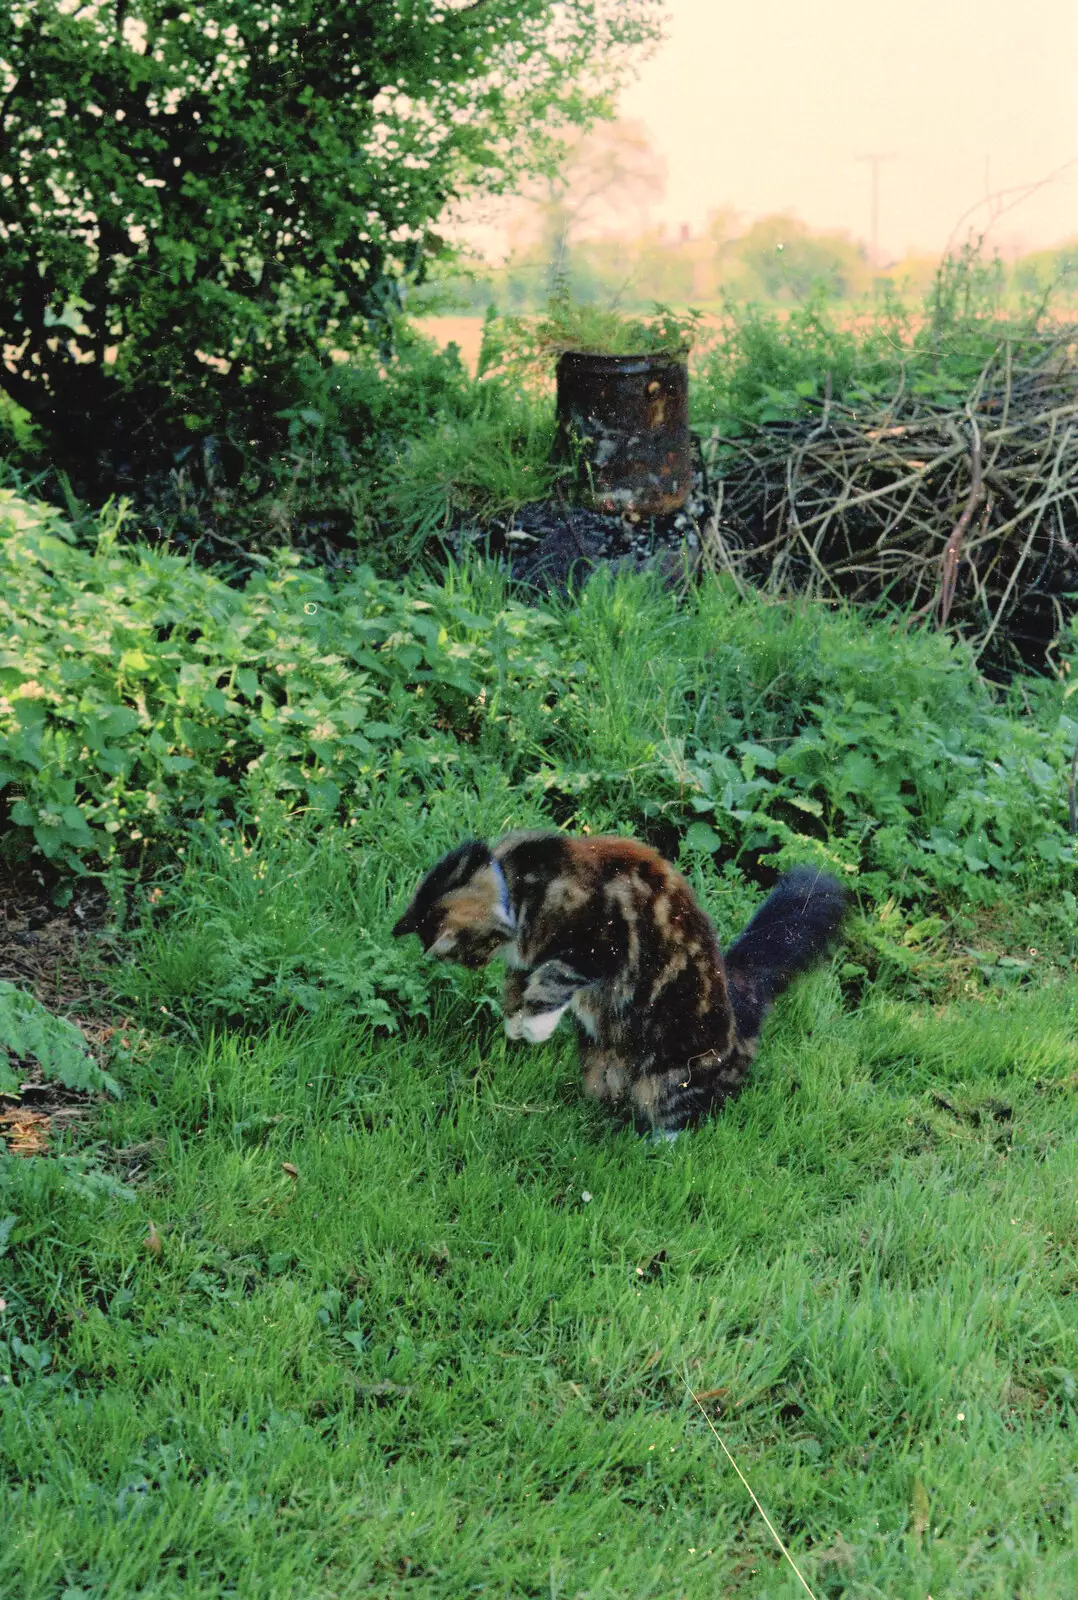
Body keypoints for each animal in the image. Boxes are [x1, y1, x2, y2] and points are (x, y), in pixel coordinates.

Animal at [390, 838, 844, 1139]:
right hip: (601, 1063)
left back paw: (655, 1145)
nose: (473, 965)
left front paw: (533, 1025)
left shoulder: (599, 946)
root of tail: (736, 1003)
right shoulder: (529, 960)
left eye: (465, 955)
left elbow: (555, 978)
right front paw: (515, 1018)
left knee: (685, 1115)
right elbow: (520, 985)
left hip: (671, 1073)